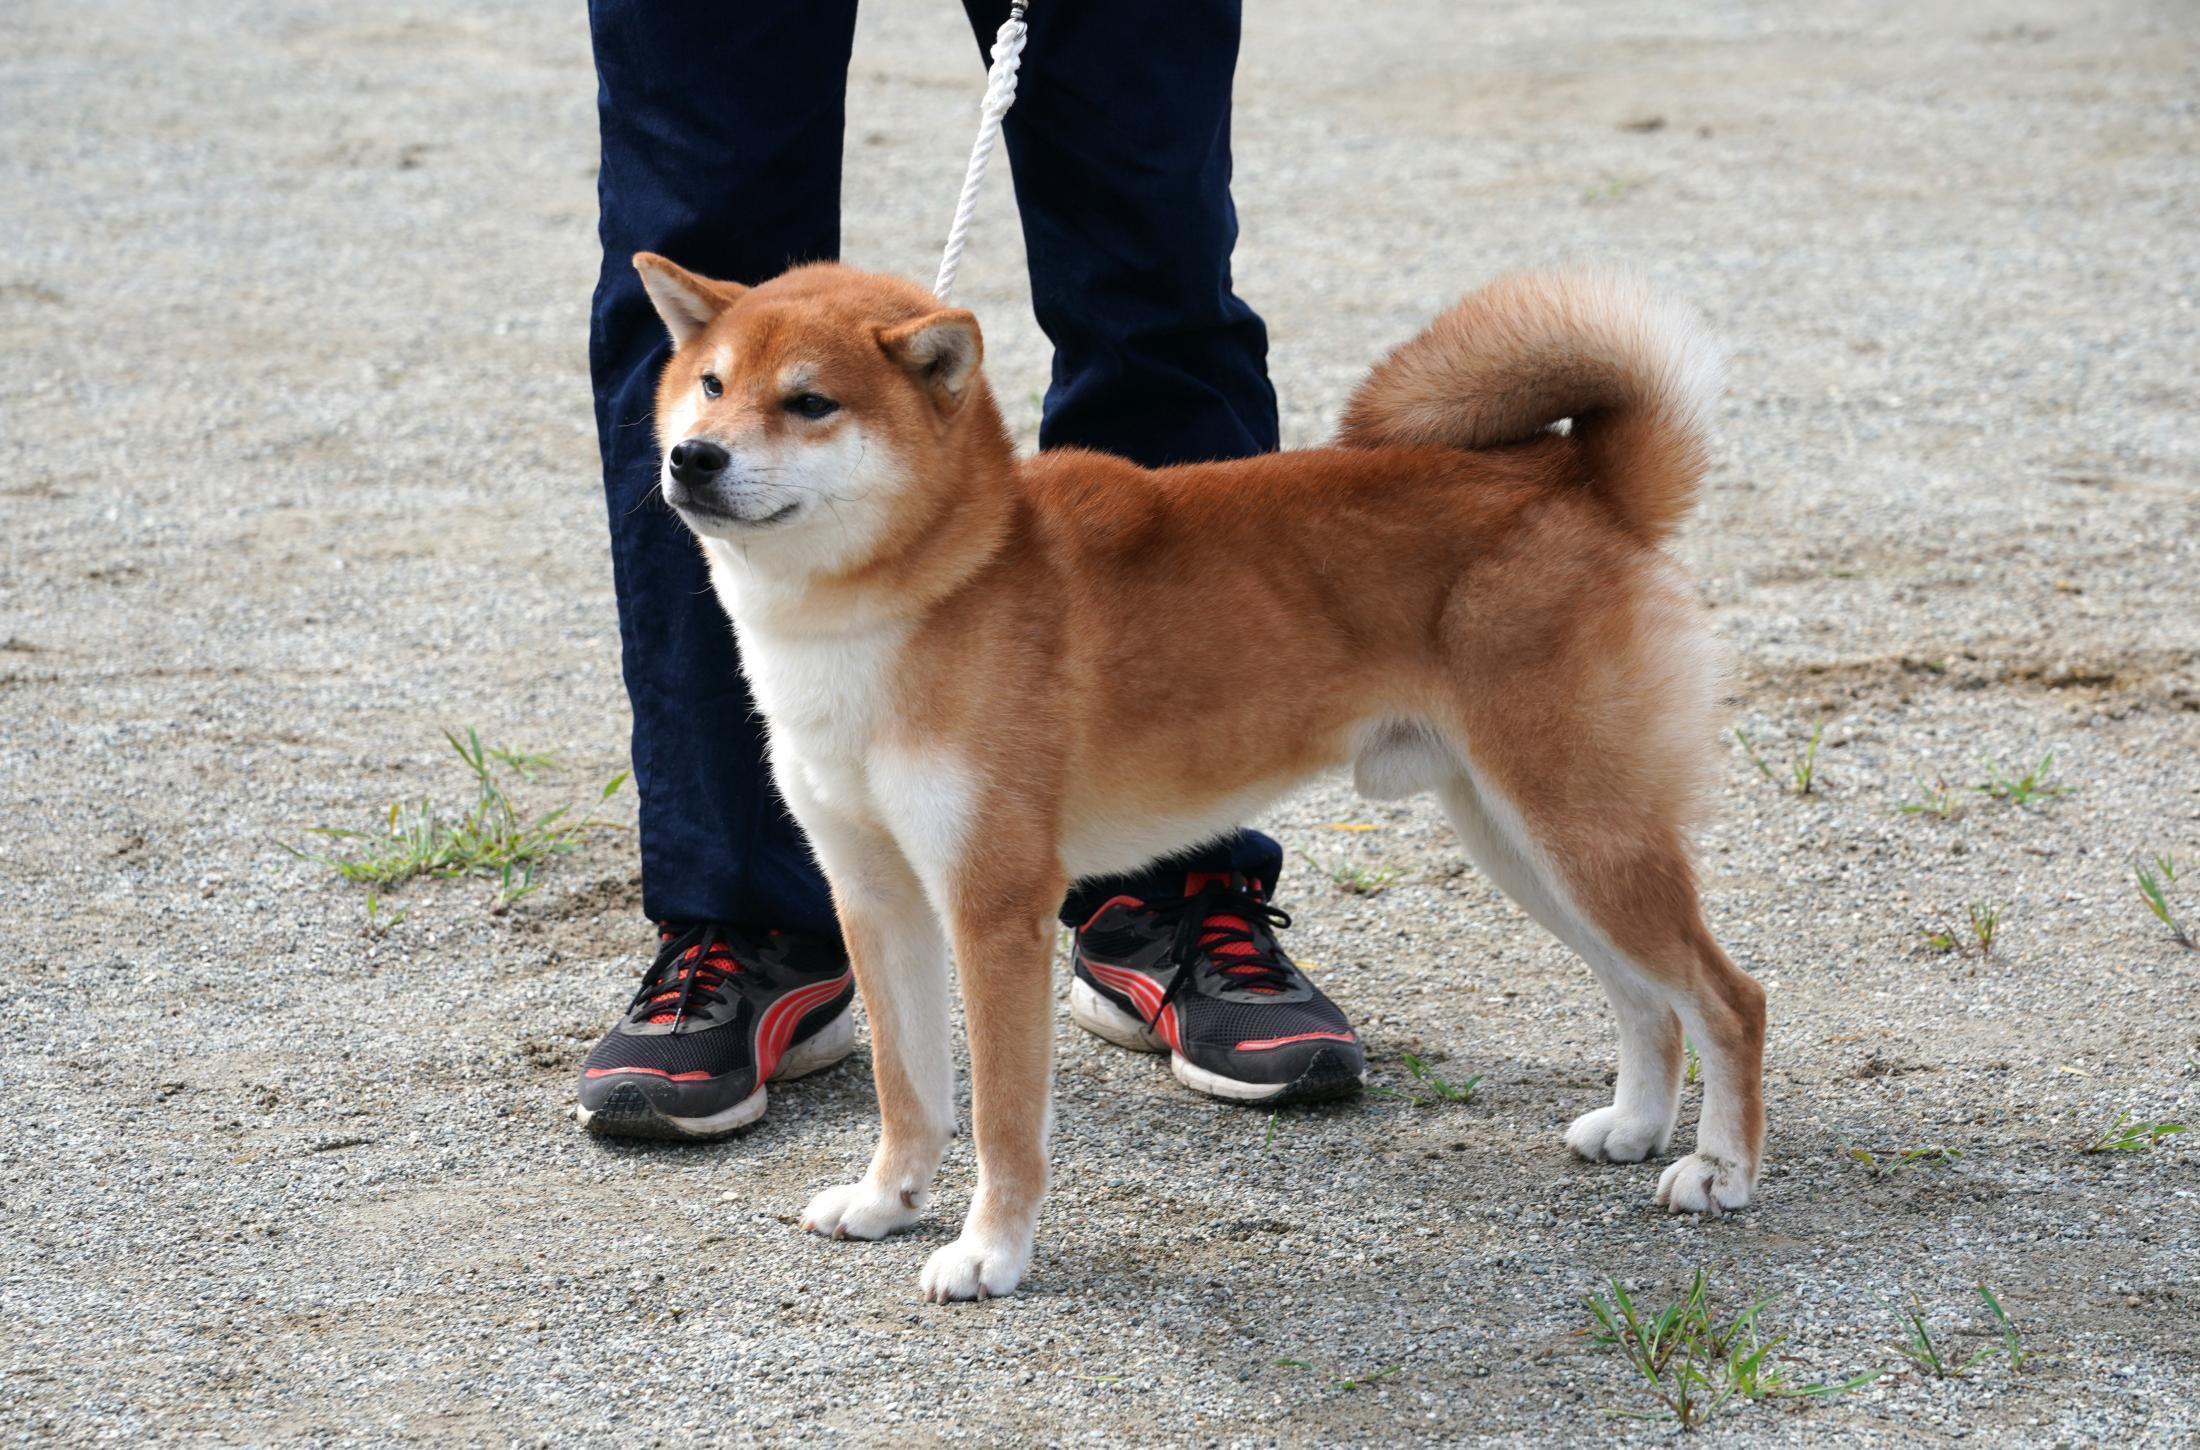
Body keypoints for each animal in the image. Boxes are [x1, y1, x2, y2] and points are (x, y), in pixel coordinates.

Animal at [629, 251, 1760, 1302]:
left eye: (809, 402)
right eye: (712, 383)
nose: (693, 456)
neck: (922, 594)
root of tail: (1580, 482)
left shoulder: (994, 907)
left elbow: (1000, 1116)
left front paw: (990, 1253)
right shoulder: (874, 893)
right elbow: (907, 1090)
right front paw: (886, 1201)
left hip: (1581, 832)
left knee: (1727, 997)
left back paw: (1720, 1170)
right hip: (1525, 842)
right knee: (1648, 1000)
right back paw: (1636, 1126)